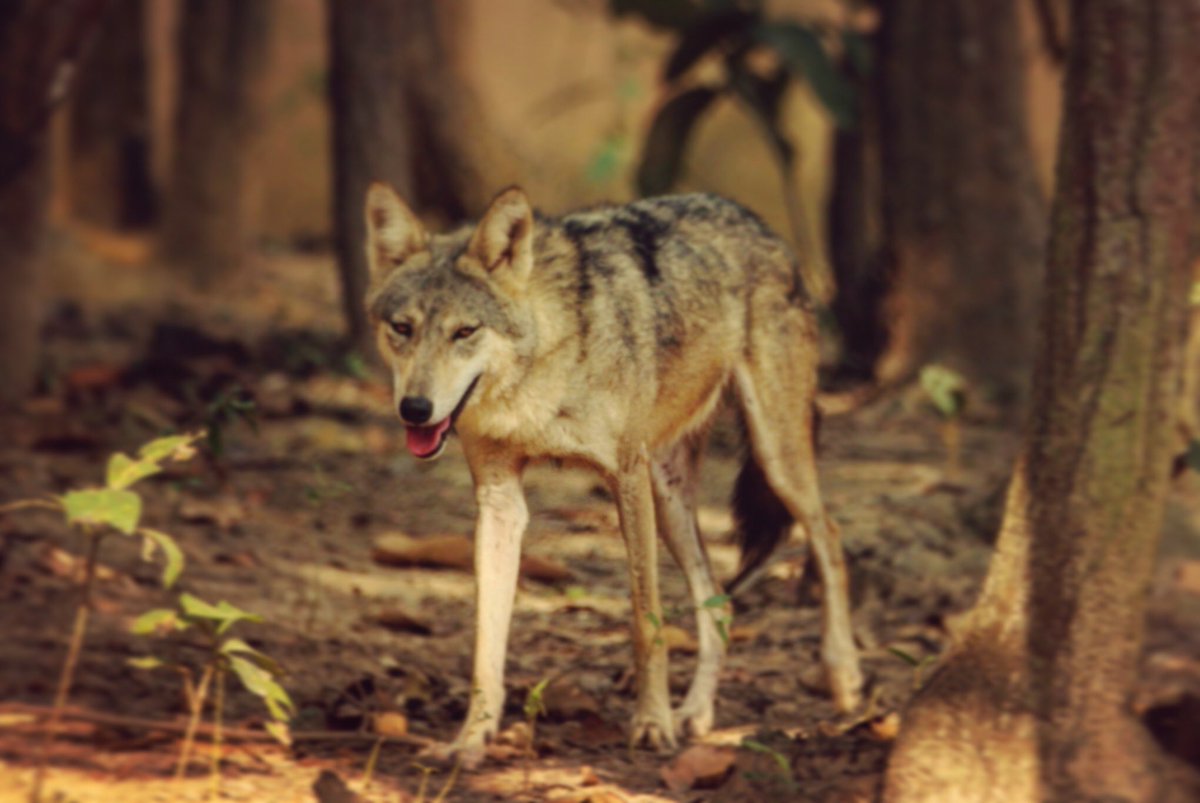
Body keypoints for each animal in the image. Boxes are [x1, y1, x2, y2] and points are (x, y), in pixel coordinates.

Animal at [363, 182, 862, 765]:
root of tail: (752, 218)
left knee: (829, 535)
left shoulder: (625, 477)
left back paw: (842, 677)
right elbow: (486, 641)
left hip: (771, 457)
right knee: (717, 599)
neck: (542, 367)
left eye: (465, 331)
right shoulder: (499, 499)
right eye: (403, 329)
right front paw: (470, 740)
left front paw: (651, 725)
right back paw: (696, 714)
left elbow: (647, 621)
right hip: (671, 499)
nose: (415, 409)